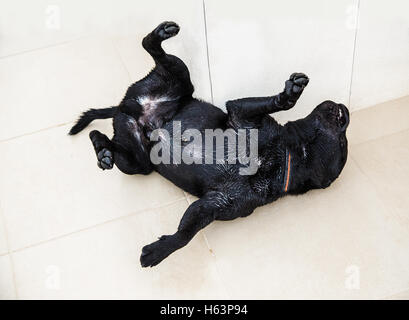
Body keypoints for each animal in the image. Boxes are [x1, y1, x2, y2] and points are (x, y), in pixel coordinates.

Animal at [69, 21, 348, 268]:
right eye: (344, 138)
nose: (344, 109)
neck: (276, 161)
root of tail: (128, 107)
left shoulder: (212, 204)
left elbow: (185, 234)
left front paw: (160, 250)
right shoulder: (241, 112)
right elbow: (275, 103)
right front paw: (290, 93)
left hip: (137, 162)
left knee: (102, 137)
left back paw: (103, 151)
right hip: (180, 77)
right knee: (150, 46)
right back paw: (162, 33)